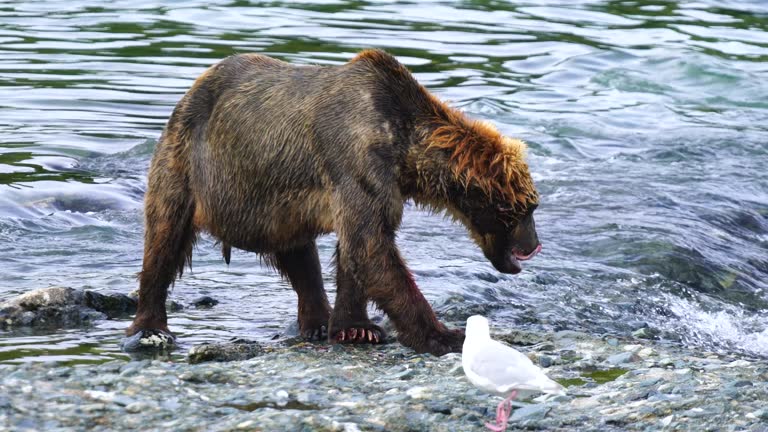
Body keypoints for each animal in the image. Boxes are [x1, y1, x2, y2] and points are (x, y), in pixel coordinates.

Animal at [127, 49, 540, 356]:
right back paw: (150, 328)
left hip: (278, 204)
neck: (405, 150)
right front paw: (445, 335)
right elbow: (371, 249)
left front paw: (355, 328)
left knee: (300, 255)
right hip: (187, 162)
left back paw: (317, 321)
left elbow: (358, 252)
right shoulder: (357, 164)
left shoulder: (374, 185)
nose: (534, 245)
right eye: (526, 209)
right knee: (164, 237)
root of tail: (194, 86)